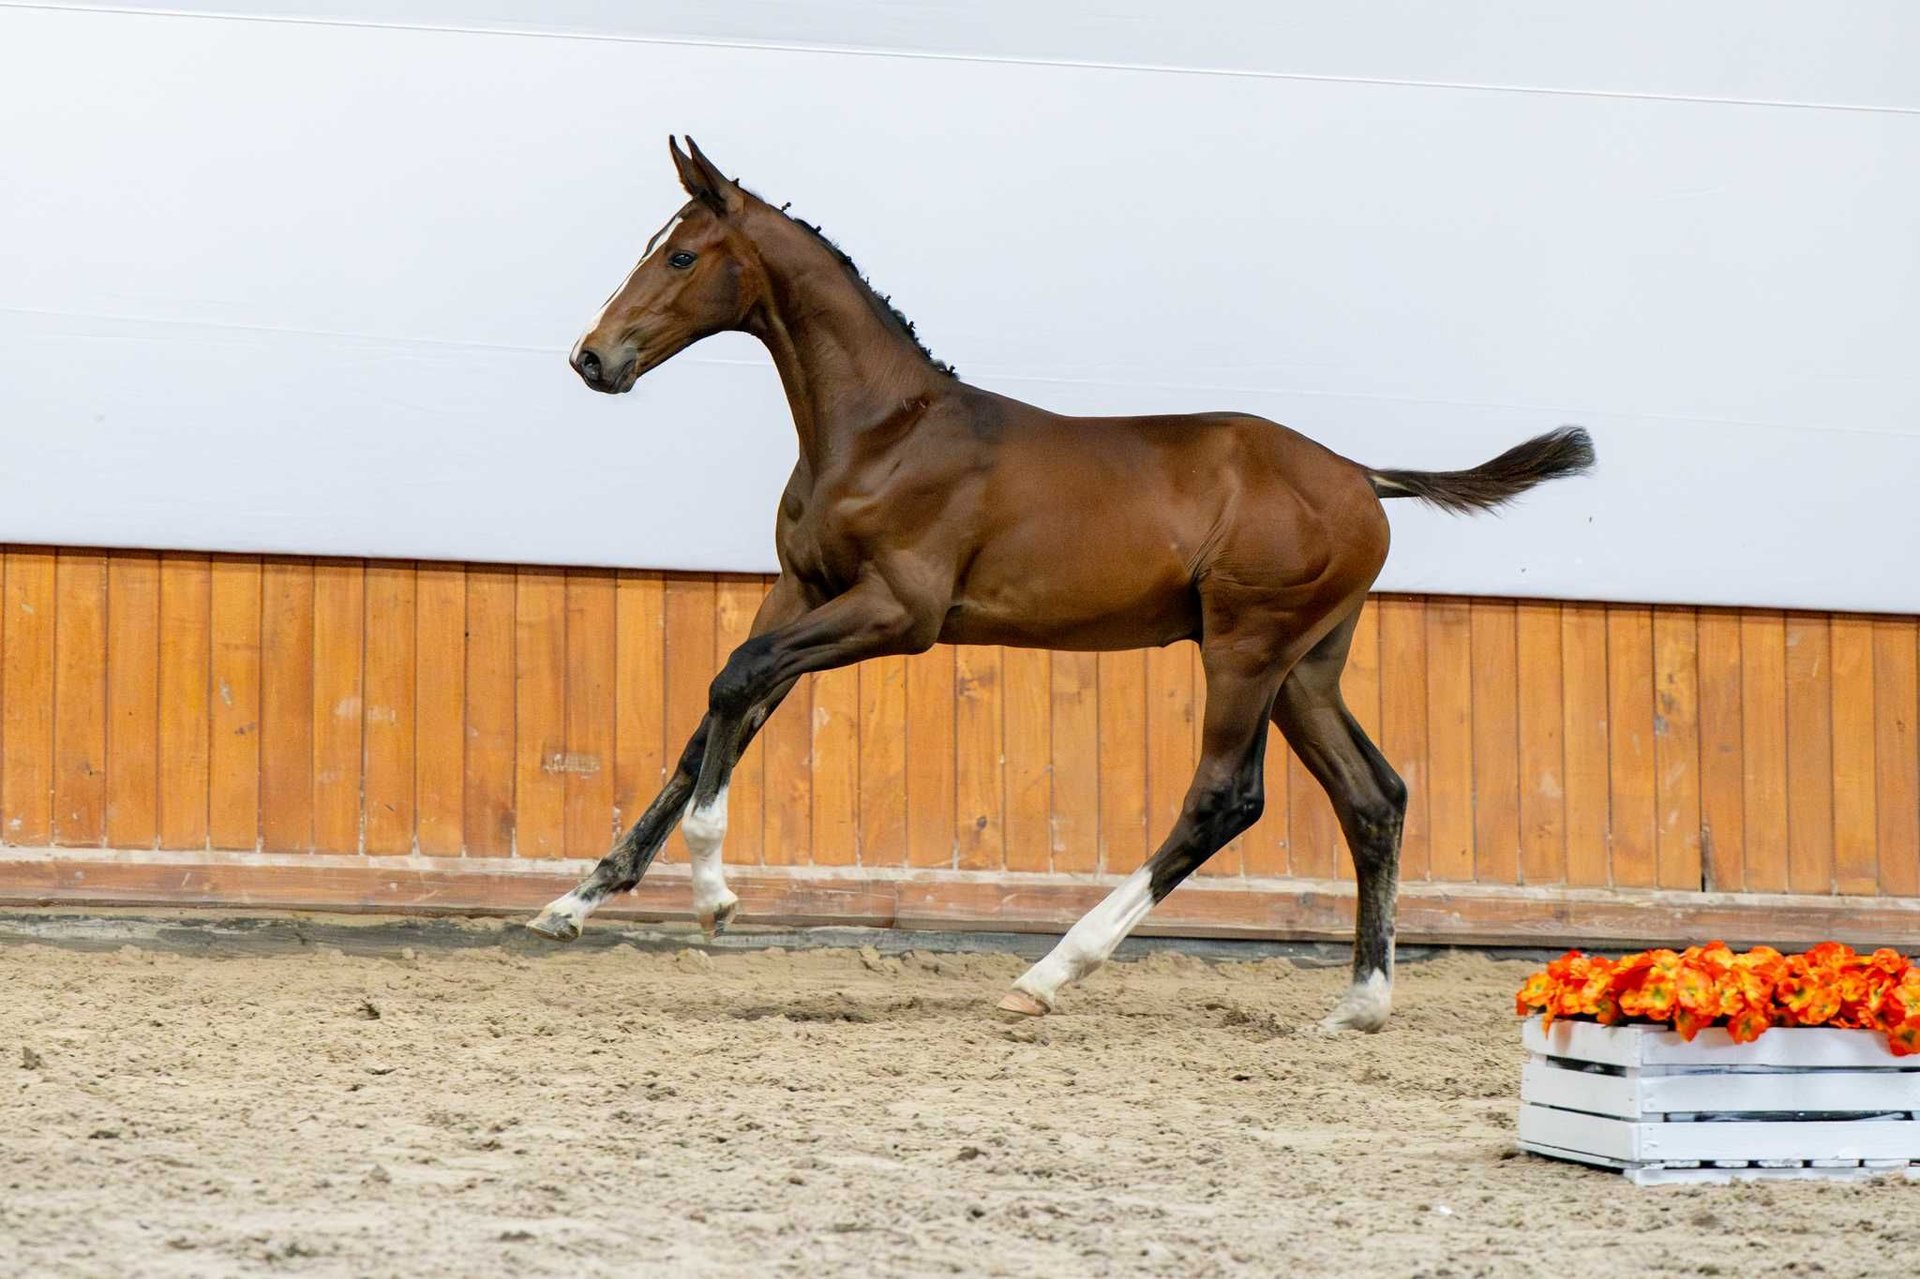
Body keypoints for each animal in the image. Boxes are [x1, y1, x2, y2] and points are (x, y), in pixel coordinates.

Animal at [529, 136, 1595, 1031]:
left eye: (678, 257)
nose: (593, 358)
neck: (882, 431)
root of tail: (1364, 476)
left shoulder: (899, 612)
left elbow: (733, 681)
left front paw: (715, 895)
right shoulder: (803, 590)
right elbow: (718, 713)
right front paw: (574, 902)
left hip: (1246, 647)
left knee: (1226, 795)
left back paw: (1048, 973)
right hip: (1306, 664)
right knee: (1373, 795)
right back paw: (1361, 1004)